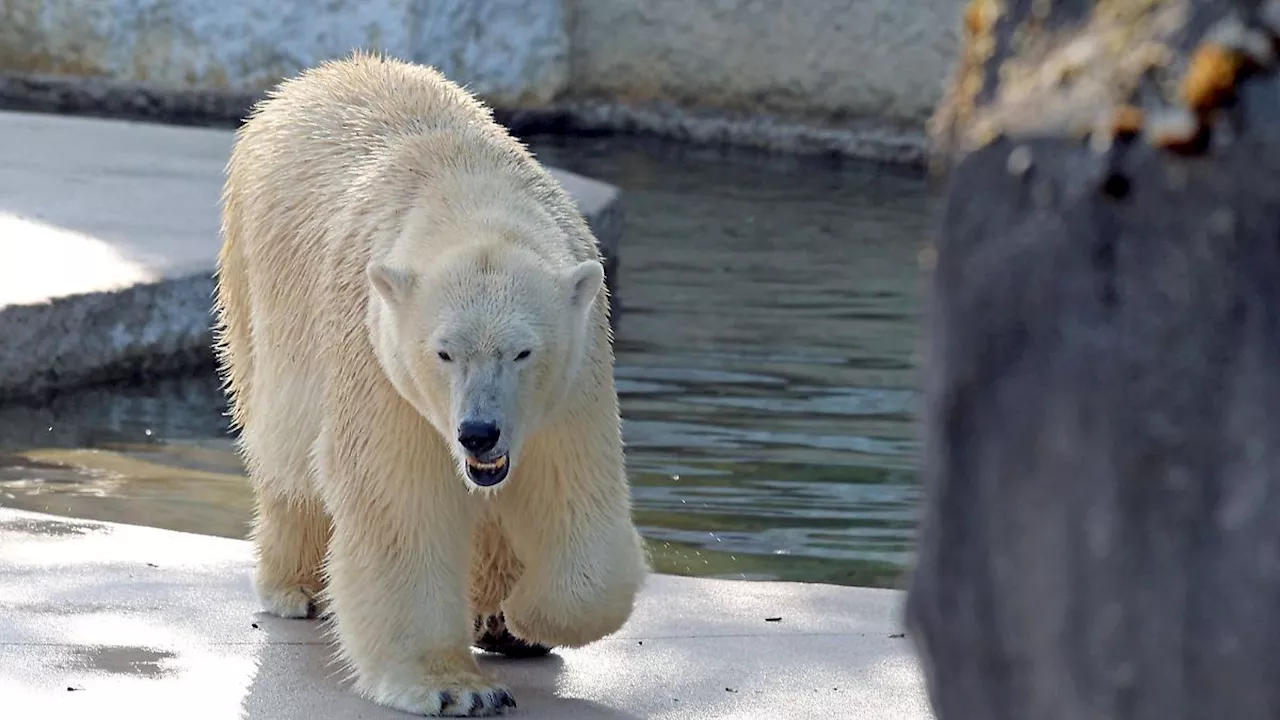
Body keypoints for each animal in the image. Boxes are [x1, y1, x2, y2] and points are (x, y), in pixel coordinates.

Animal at [215, 51, 650, 712]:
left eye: (523, 352)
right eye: (443, 352)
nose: (478, 432)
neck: (468, 186)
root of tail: (316, 76)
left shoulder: (577, 374)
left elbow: (574, 489)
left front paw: (524, 617)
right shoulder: (379, 356)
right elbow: (399, 496)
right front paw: (454, 688)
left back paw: (496, 618)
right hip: (254, 280)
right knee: (284, 452)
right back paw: (296, 587)